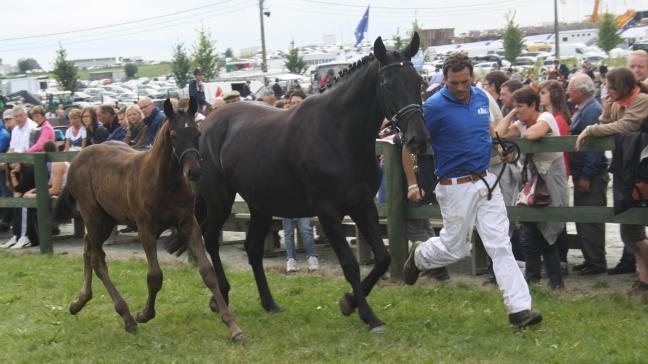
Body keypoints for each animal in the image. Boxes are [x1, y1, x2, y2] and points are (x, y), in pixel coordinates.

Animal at [170, 33, 428, 330]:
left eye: (418, 81)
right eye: (387, 85)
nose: (418, 139)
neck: (339, 135)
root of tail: (206, 125)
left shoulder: (363, 206)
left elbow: (383, 258)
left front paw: (349, 302)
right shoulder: (328, 213)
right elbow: (349, 264)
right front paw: (368, 315)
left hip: (261, 205)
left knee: (253, 248)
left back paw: (269, 303)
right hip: (219, 200)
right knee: (210, 238)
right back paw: (220, 296)